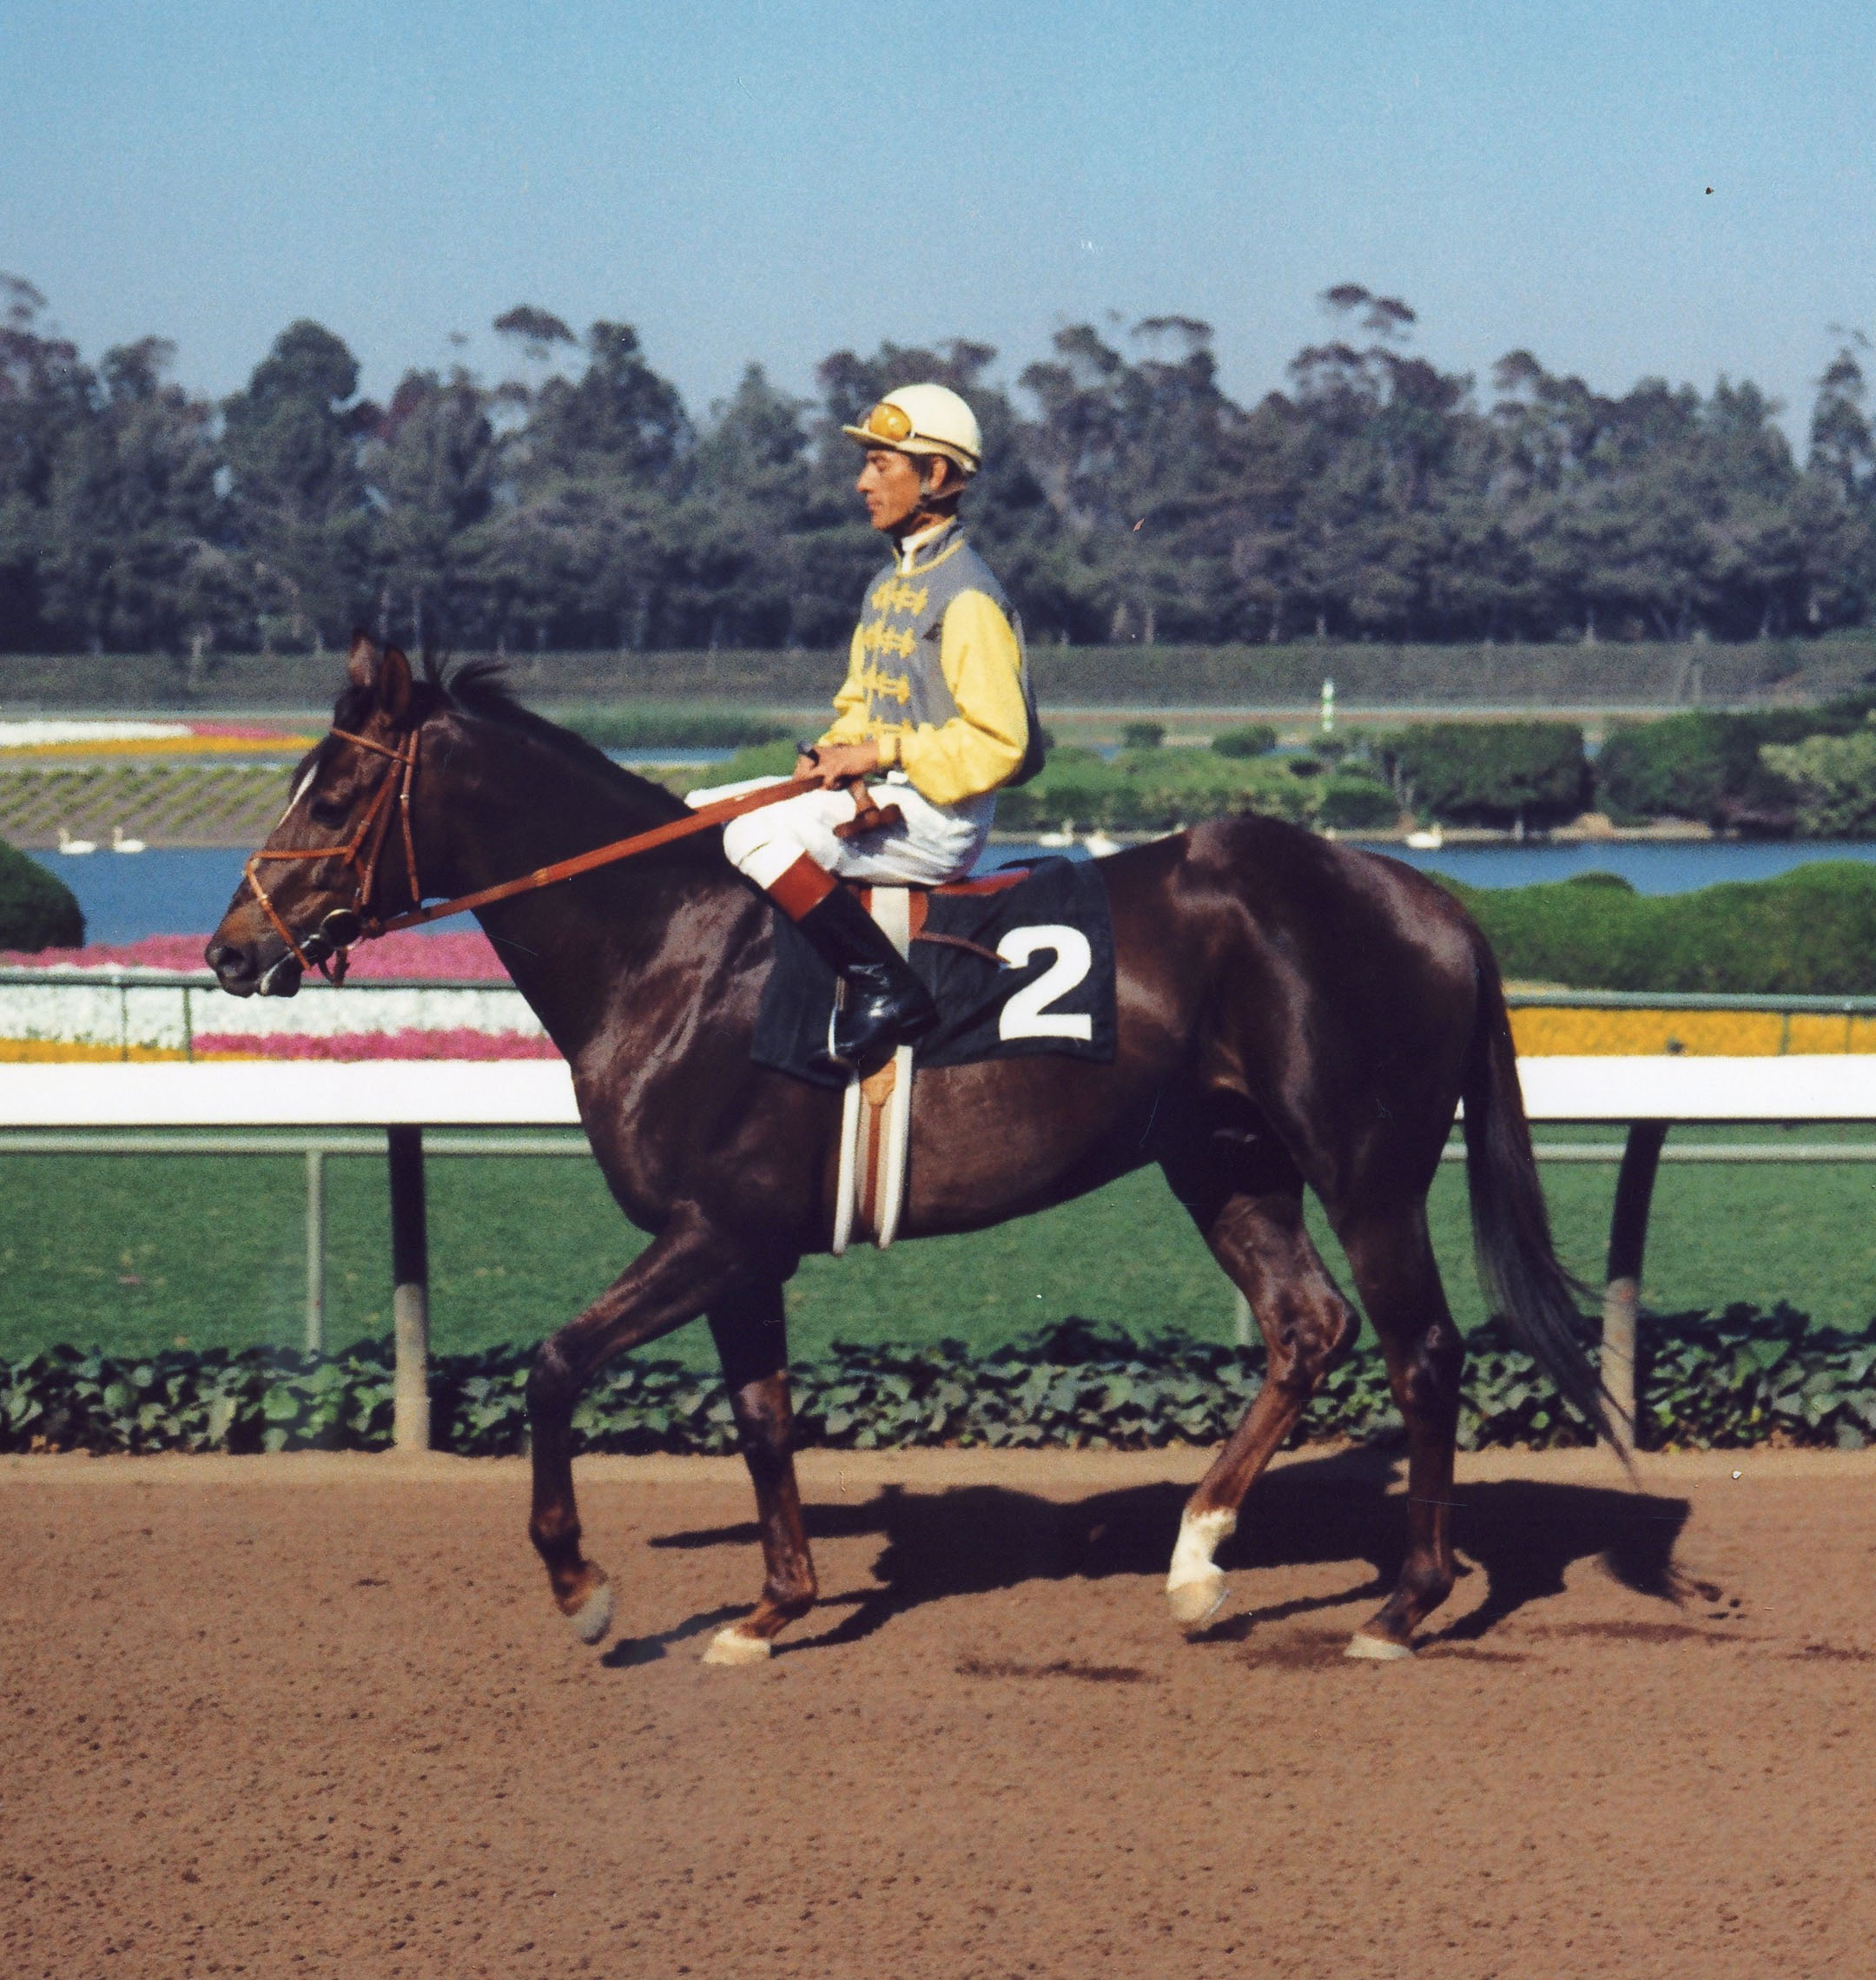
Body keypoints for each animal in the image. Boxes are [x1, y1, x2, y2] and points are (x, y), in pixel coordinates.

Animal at [208, 641, 1616, 1663]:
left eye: (334, 791)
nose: (231, 949)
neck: (668, 947)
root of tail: (1429, 898)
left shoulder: (713, 1231)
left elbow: (555, 1367)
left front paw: (582, 1585)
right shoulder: (747, 1250)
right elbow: (763, 1415)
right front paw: (772, 1608)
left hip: (1367, 1168)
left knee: (1422, 1353)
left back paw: (1403, 1603)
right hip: (1227, 1161)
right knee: (1306, 1326)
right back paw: (1198, 1562)